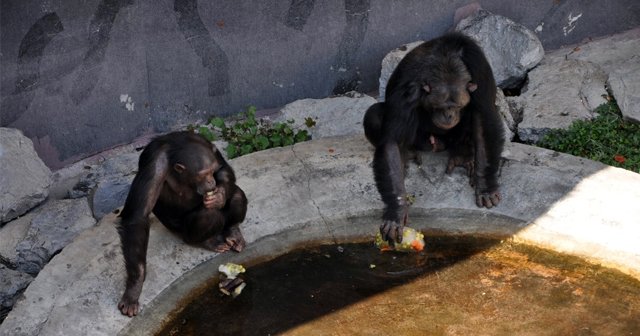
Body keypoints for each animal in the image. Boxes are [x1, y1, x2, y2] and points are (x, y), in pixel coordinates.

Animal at [116, 132, 246, 318]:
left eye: (211, 171)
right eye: (202, 174)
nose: (211, 183)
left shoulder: (208, 145)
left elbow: (223, 168)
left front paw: (219, 195)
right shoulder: (154, 166)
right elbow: (137, 217)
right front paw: (134, 289)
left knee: (236, 193)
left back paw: (233, 232)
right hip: (183, 232)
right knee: (209, 214)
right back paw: (210, 241)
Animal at [364, 32, 504, 244]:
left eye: (457, 106)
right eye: (440, 106)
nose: (449, 115)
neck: (445, 59)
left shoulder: (479, 67)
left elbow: (483, 116)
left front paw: (486, 186)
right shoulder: (408, 89)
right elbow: (392, 140)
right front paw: (397, 210)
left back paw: (464, 155)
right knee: (374, 116)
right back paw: (408, 154)